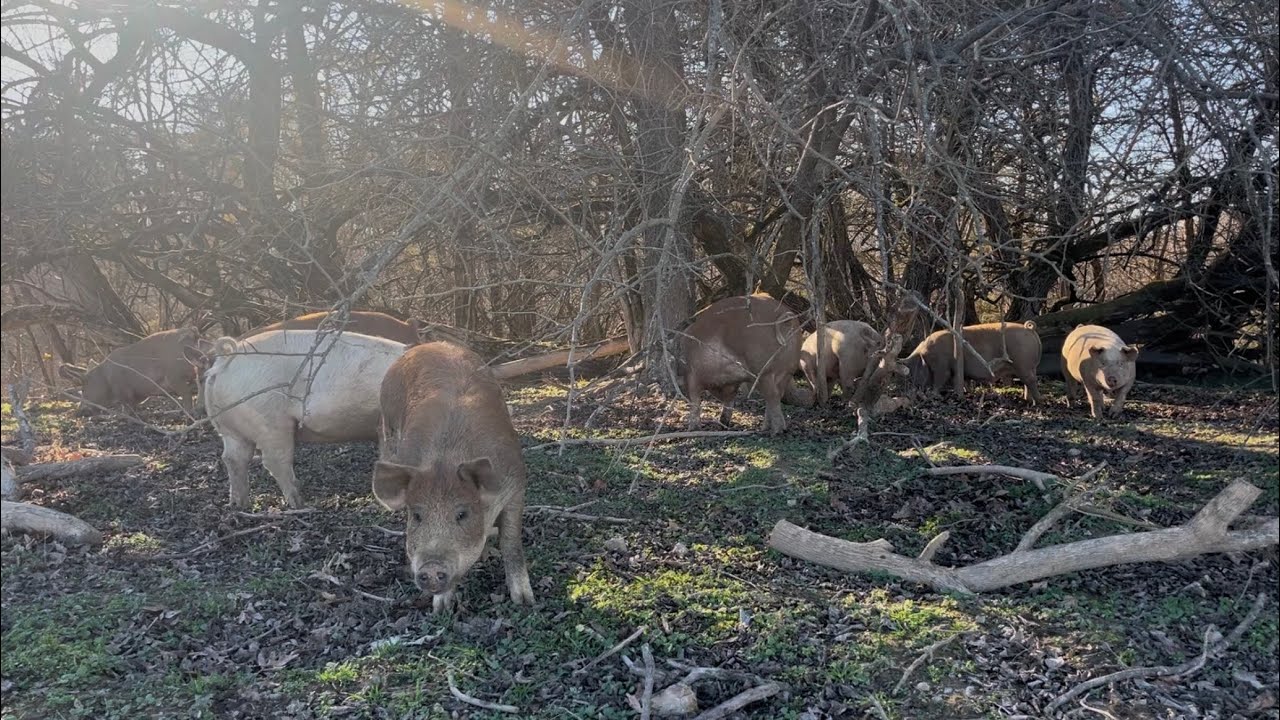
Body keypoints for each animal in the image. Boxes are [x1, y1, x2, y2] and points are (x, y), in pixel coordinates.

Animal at [58, 328, 210, 415]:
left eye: (84, 388)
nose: (80, 411)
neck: (105, 377)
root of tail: (191, 332)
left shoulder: (123, 391)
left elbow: (127, 407)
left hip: (175, 376)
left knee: (187, 394)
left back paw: (188, 414)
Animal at [202, 329, 408, 508]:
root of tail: (227, 359)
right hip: (270, 421)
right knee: (274, 461)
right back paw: (300, 503)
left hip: (230, 429)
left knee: (233, 458)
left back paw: (238, 504)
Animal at [372, 341, 534, 613]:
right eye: (417, 516)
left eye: (462, 514)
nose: (431, 567)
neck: (446, 460)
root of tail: (423, 346)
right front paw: (441, 610)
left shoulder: (516, 484)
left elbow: (511, 541)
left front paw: (525, 601)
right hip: (388, 423)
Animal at [679, 293, 803, 435]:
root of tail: (786, 319)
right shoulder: (731, 383)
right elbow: (729, 400)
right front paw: (723, 424)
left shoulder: (690, 374)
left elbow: (695, 399)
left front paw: (692, 429)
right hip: (788, 369)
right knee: (777, 395)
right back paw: (765, 428)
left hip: (762, 371)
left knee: (773, 396)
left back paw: (776, 431)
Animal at [903, 321, 1044, 404]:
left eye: (913, 370)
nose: (912, 388)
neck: (926, 354)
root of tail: (1029, 329)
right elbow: (964, 381)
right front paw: (965, 392)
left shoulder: (941, 366)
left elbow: (940, 379)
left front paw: (934, 395)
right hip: (1030, 366)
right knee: (1028, 382)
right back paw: (1027, 399)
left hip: (1022, 363)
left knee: (1031, 380)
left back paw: (1038, 401)